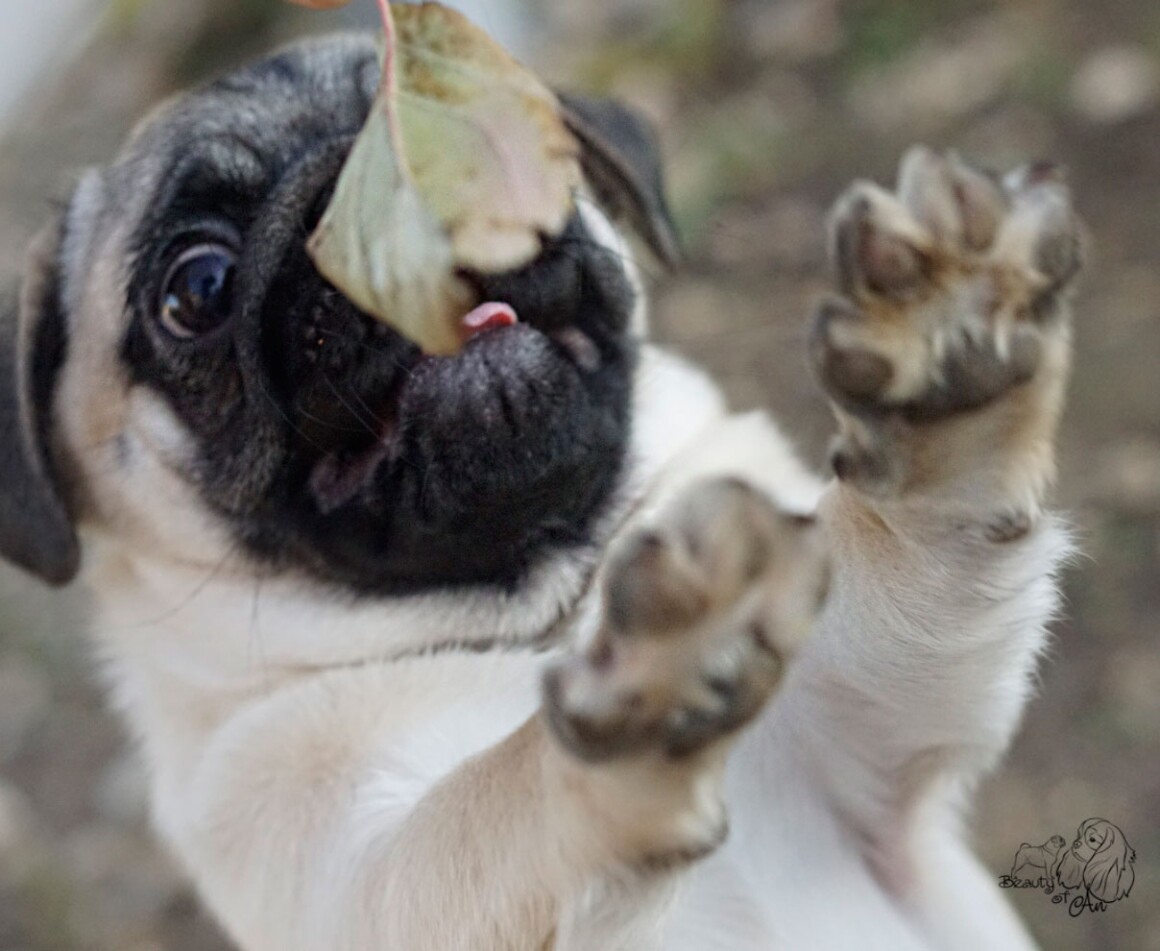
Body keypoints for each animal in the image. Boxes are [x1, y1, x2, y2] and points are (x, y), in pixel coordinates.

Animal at [0, 31, 1083, 951]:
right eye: (197, 290)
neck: (540, 618)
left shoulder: (864, 719)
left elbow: (890, 550)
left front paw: (942, 334)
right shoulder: (363, 880)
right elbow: (496, 793)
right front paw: (648, 684)